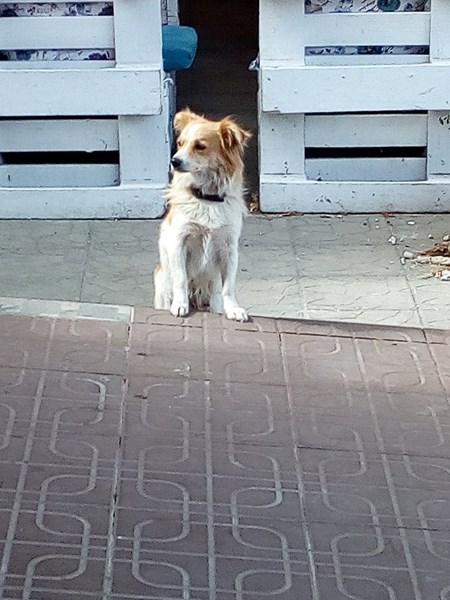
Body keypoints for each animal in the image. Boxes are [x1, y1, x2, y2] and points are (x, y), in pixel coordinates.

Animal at [154, 109, 251, 321]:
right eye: (180, 143)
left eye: (200, 146)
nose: (174, 161)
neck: (207, 198)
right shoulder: (179, 242)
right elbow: (181, 278)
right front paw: (180, 304)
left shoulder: (229, 248)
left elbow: (228, 287)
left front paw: (233, 309)